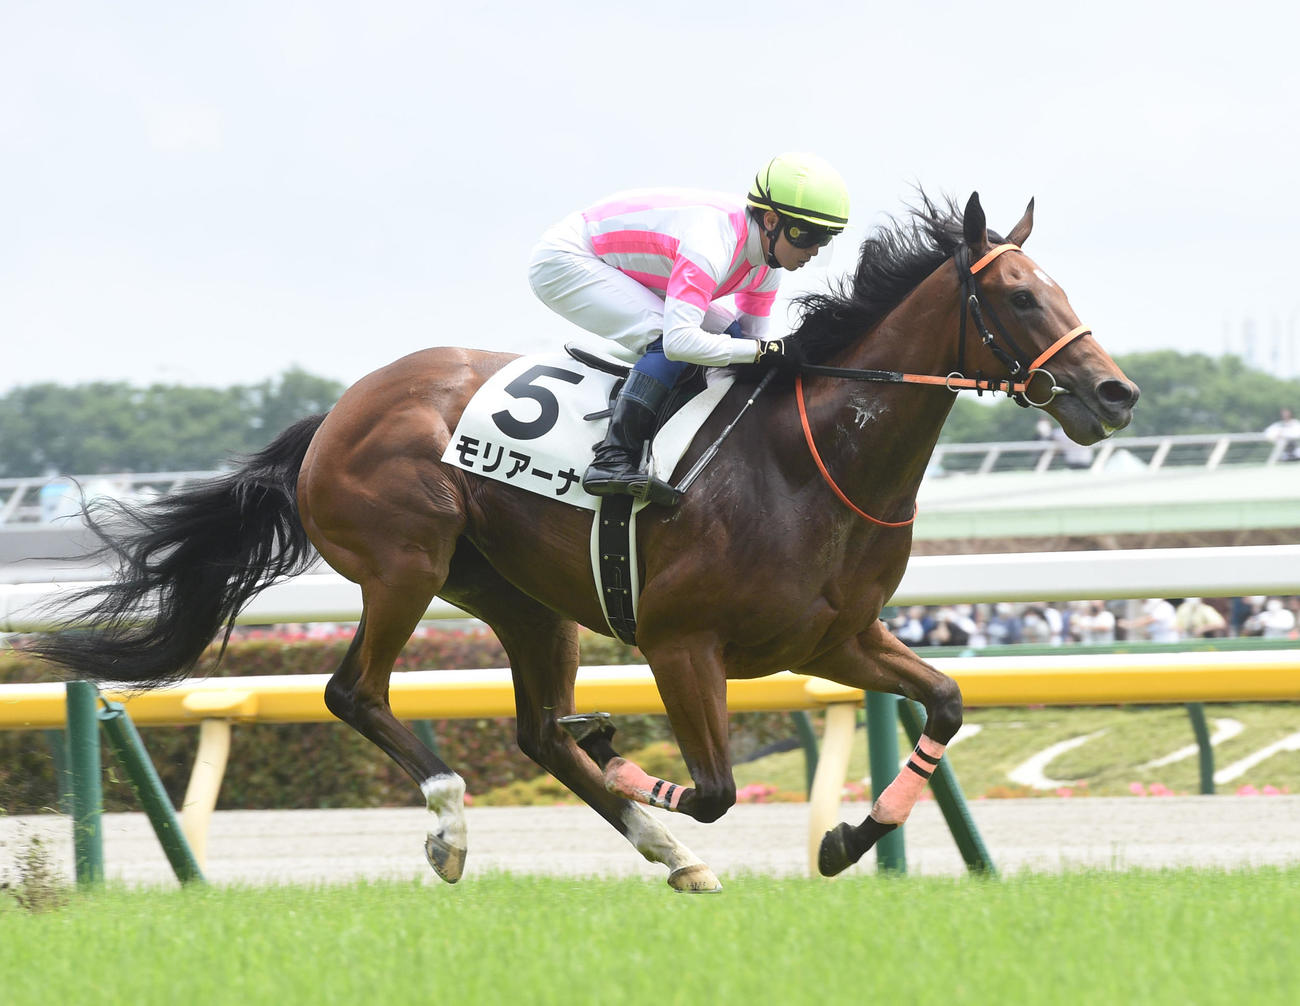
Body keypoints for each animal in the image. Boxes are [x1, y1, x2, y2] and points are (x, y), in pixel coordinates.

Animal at [30, 192, 1139, 891]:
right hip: (405, 562)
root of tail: (340, 409)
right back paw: (454, 821)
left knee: (531, 730)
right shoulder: (681, 643)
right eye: (1019, 295)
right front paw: (624, 749)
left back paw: (669, 853)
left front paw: (849, 838)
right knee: (356, 692)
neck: (810, 458)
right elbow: (716, 788)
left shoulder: (834, 639)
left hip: (521, 598)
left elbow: (944, 703)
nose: (1115, 393)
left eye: (1060, 288)